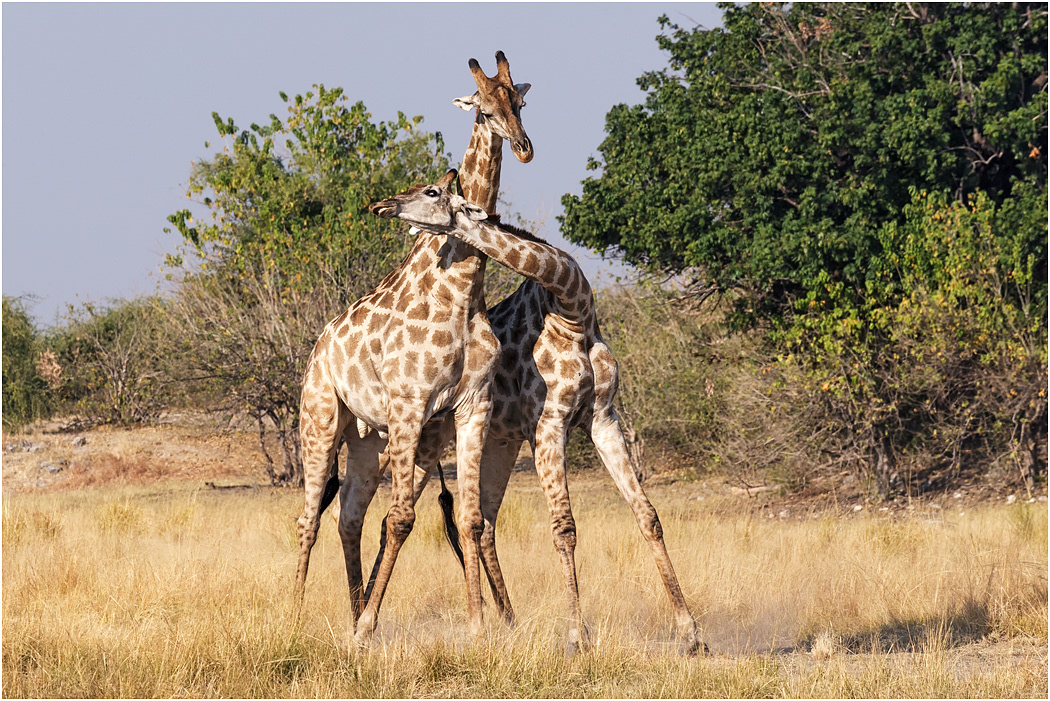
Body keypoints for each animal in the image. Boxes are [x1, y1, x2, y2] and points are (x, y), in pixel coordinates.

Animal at [381, 180, 706, 656]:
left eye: (431, 191)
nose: (386, 204)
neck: (573, 306)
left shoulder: (602, 417)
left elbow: (647, 516)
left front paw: (690, 632)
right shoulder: (549, 423)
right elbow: (564, 529)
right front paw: (578, 636)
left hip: (499, 442)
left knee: (485, 524)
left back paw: (508, 623)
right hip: (429, 439)